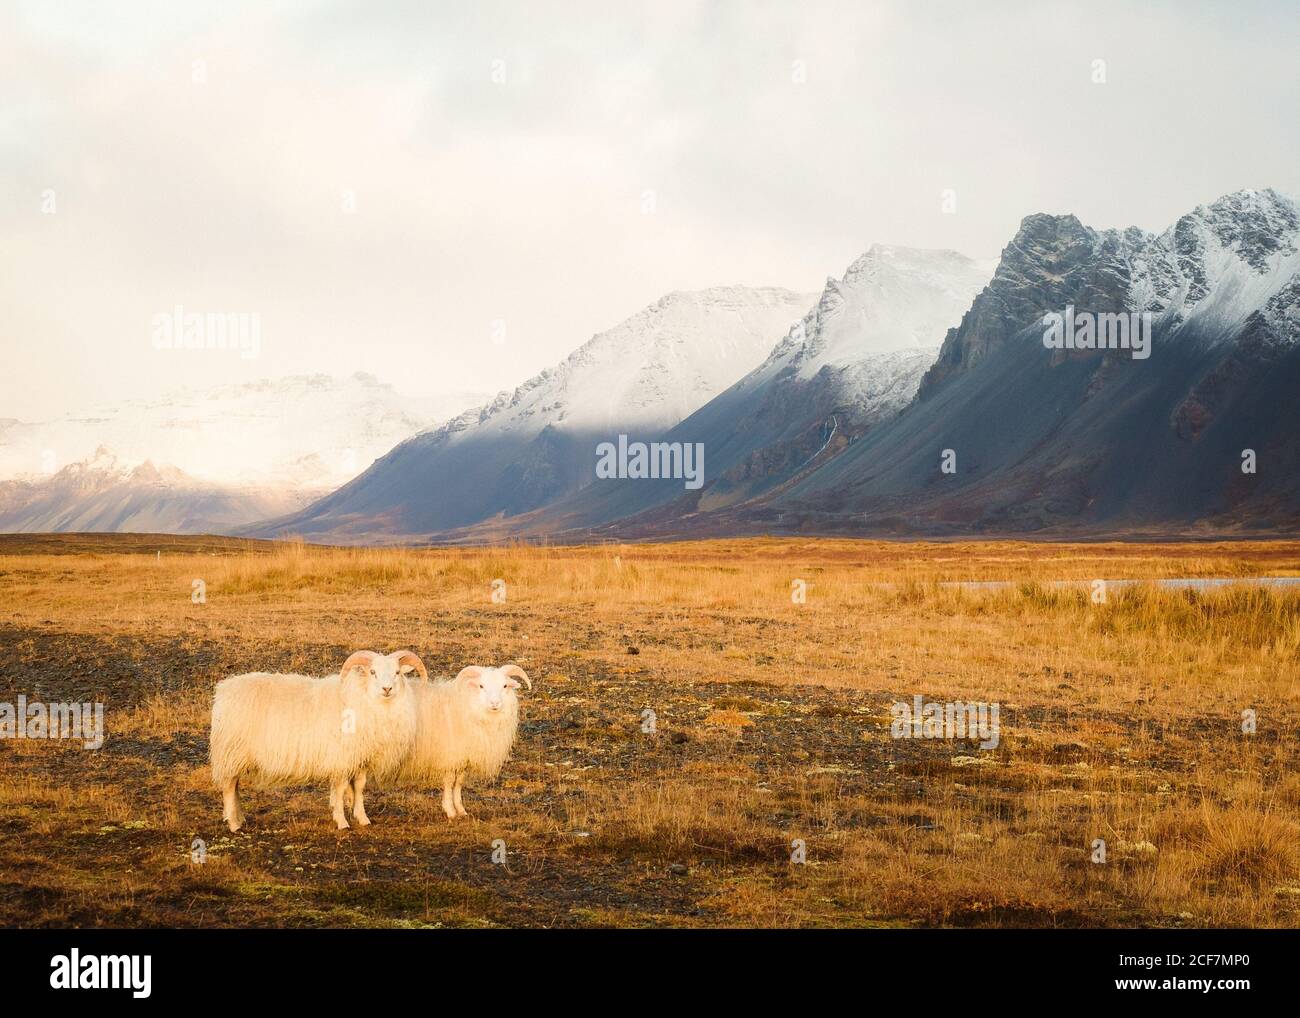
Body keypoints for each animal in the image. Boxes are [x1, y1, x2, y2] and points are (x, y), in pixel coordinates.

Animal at [205, 650, 423, 832]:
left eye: (397, 672)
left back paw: (240, 818)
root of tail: (223, 690)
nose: (387, 689)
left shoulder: (360, 758)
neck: (361, 698)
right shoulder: (341, 759)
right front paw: (342, 821)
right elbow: (340, 789)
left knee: (235, 787)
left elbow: (359, 788)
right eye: (372, 672)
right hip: (232, 751)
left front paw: (362, 818)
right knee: (229, 787)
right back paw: (234, 824)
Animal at [358, 670, 530, 821]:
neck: (468, 706)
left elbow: (458, 782)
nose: (494, 703)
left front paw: (461, 809)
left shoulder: (462, 759)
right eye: (481, 686)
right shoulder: (450, 757)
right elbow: (449, 782)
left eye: (505, 686)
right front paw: (450, 810)